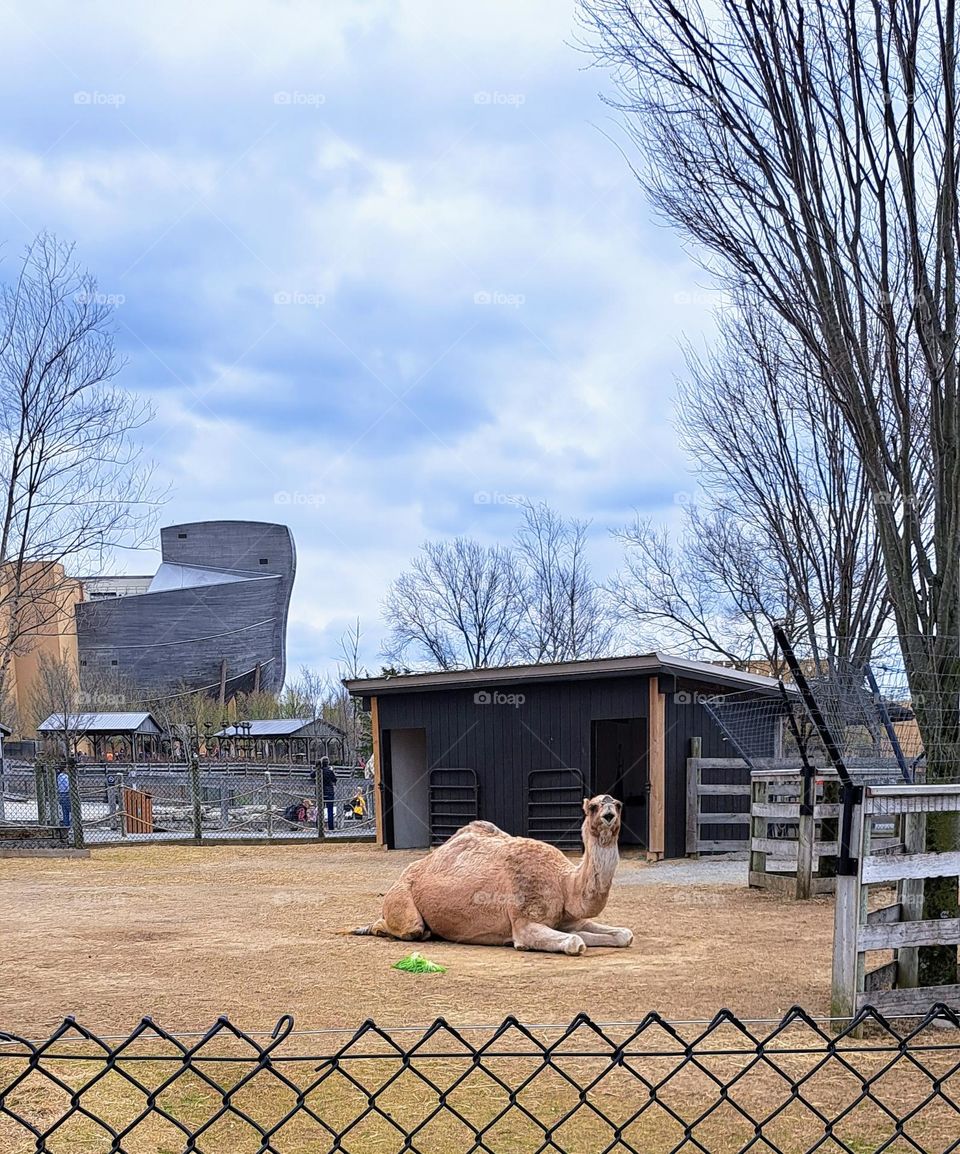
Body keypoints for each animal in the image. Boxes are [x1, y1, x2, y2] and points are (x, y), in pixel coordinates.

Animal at [352, 794, 633, 955]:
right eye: (593, 806)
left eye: (619, 805)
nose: (609, 814)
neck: (564, 883)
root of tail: (403, 876)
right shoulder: (524, 922)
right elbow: (575, 942)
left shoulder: (570, 919)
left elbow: (623, 935)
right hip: (402, 901)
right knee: (410, 928)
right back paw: (366, 929)